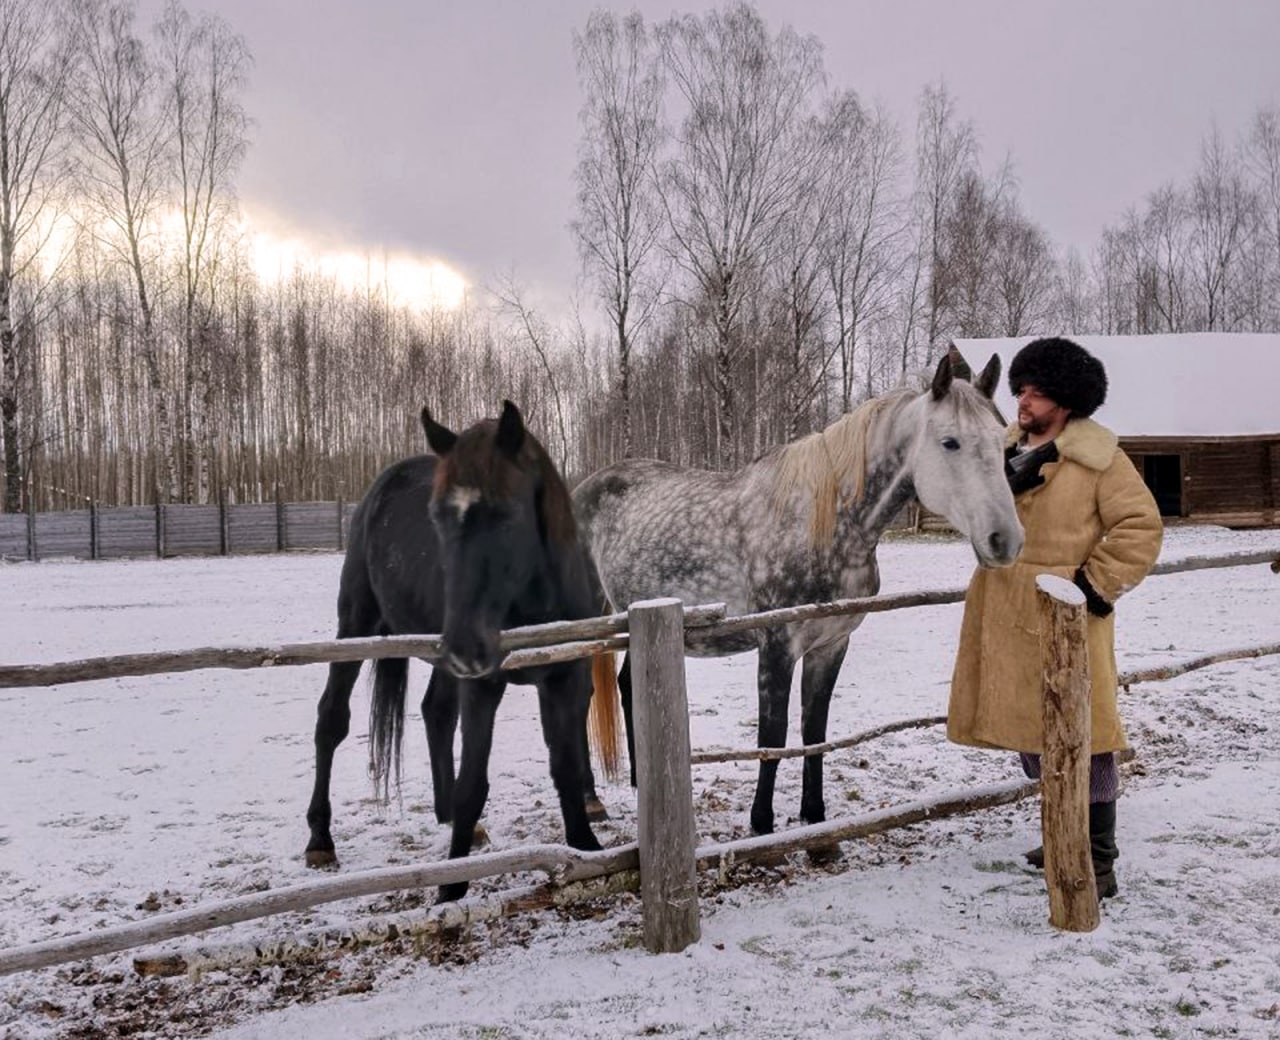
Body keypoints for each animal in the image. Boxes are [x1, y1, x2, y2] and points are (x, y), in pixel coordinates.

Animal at [302, 397, 616, 901]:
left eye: (506, 514)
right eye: (437, 517)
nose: (468, 644)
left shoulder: (564, 678)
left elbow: (565, 766)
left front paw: (586, 849)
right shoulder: (483, 685)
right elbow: (474, 783)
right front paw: (452, 886)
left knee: (436, 712)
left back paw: (450, 817)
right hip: (357, 626)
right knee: (331, 718)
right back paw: (319, 840)